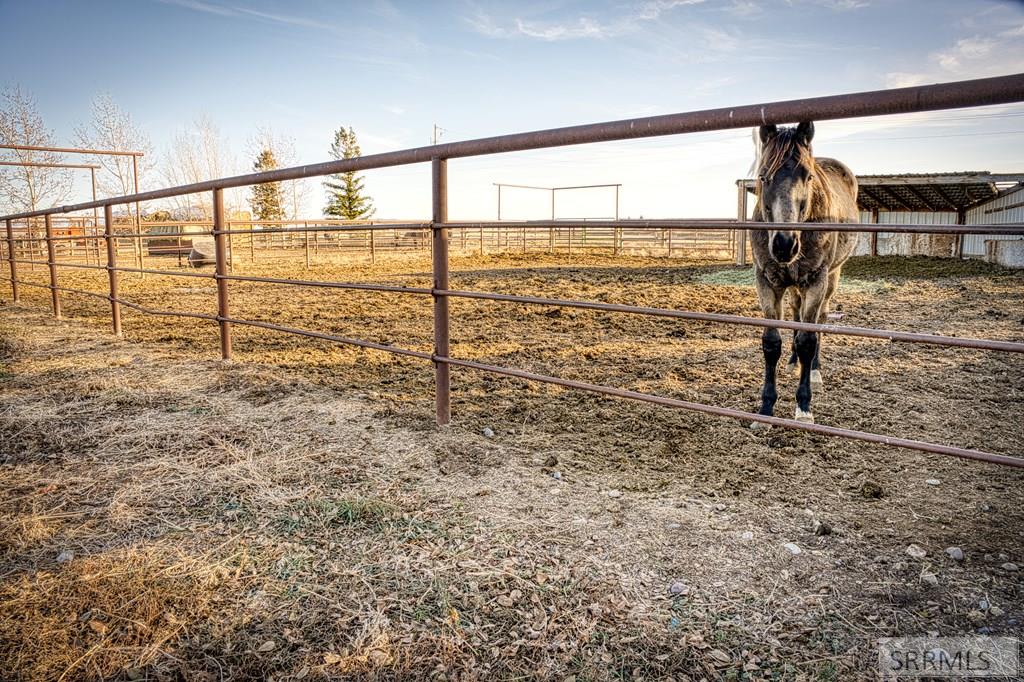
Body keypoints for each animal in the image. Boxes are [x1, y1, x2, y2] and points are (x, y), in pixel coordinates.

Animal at [749, 120, 860, 428]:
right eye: (763, 176)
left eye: (808, 177)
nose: (785, 244)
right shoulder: (767, 282)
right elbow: (772, 342)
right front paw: (766, 409)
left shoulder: (815, 282)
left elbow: (809, 340)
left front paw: (804, 407)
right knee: (797, 315)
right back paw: (793, 361)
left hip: (831, 278)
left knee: (819, 321)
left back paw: (814, 371)